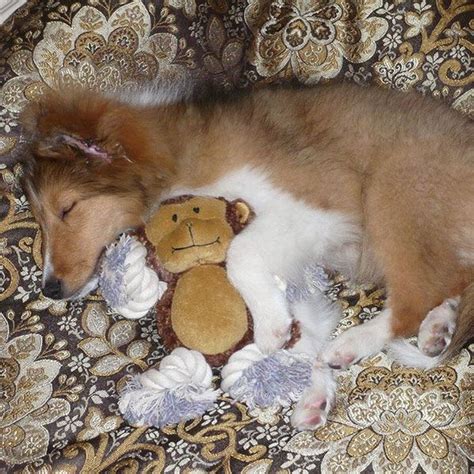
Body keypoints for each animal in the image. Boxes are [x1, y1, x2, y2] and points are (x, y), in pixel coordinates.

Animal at [20, 84, 474, 430]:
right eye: (40, 221)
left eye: (67, 209)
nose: (51, 288)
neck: (176, 156)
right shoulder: (300, 260)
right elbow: (303, 326)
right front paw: (312, 390)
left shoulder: (319, 208)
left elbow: (240, 253)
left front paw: (270, 331)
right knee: (451, 278)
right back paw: (439, 327)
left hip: (395, 189)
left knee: (417, 296)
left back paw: (354, 343)